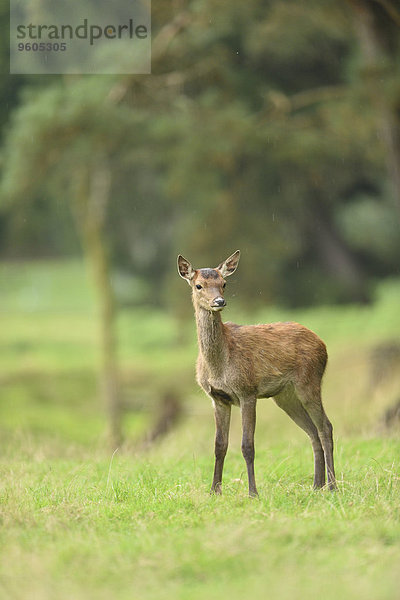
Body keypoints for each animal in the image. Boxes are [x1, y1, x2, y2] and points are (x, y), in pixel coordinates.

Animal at [177, 250, 336, 496]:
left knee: (325, 427)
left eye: (224, 283)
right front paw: (214, 491)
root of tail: (322, 343)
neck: (218, 366)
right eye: (198, 285)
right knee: (312, 431)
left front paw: (253, 492)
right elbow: (219, 445)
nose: (219, 302)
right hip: (285, 396)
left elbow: (247, 445)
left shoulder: (247, 391)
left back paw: (332, 486)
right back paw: (316, 486)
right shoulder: (217, 398)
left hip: (309, 381)